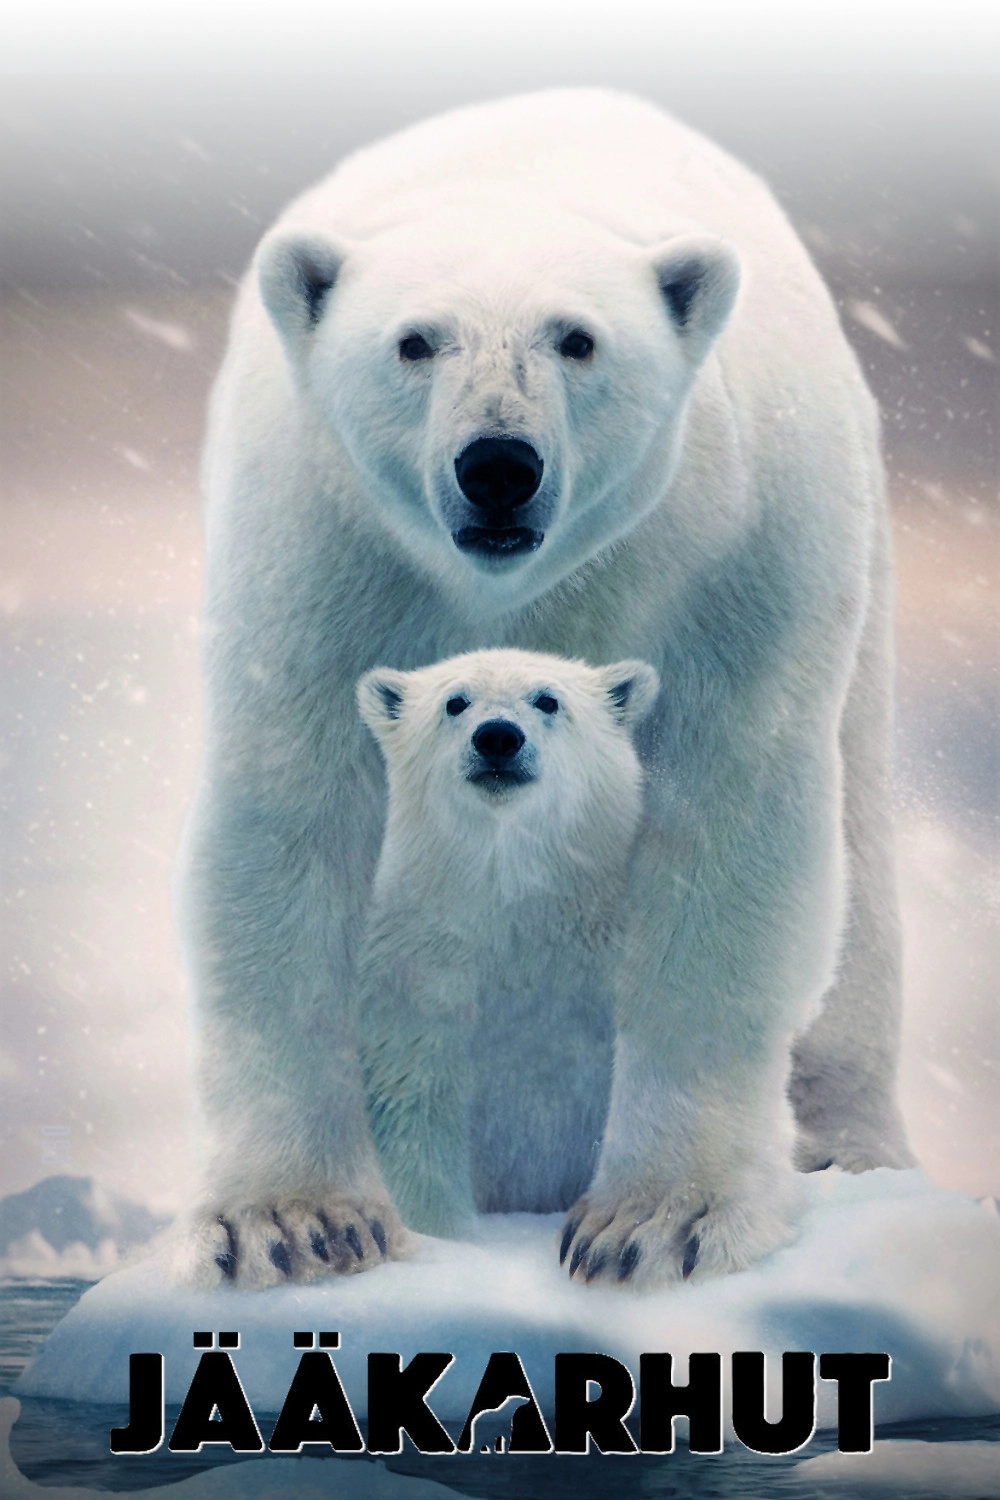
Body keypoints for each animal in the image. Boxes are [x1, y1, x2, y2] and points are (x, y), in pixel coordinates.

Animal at [355, 648, 659, 1248]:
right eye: (456, 701)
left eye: (547, 699)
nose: (497, 737)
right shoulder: (418, 970)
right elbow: (416, 1110)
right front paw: (446, 1236)